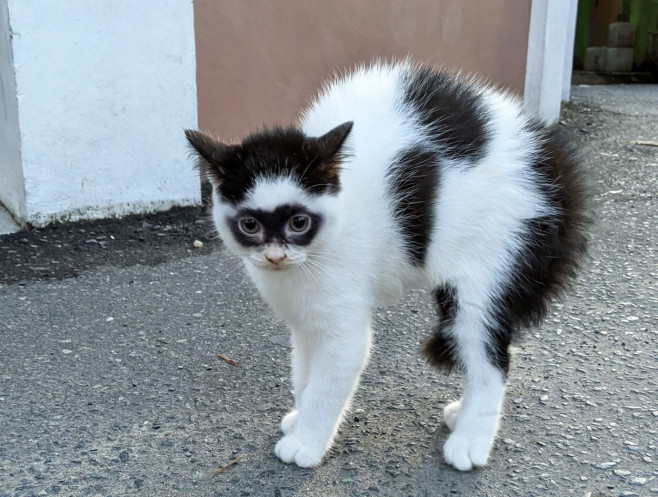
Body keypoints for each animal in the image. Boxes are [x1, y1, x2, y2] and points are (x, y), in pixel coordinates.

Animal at [183, 60, 584, 470]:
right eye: (250, 225)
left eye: (299, 223)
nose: (275, 256)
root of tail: (548, 157)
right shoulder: (304, 322)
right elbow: (304, 372)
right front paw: (300, 418)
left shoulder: (344, 328)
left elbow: (329, 381)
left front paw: (307, 441)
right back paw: (462, 415)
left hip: (486, 265)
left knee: (489, 356)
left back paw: (471, 440)